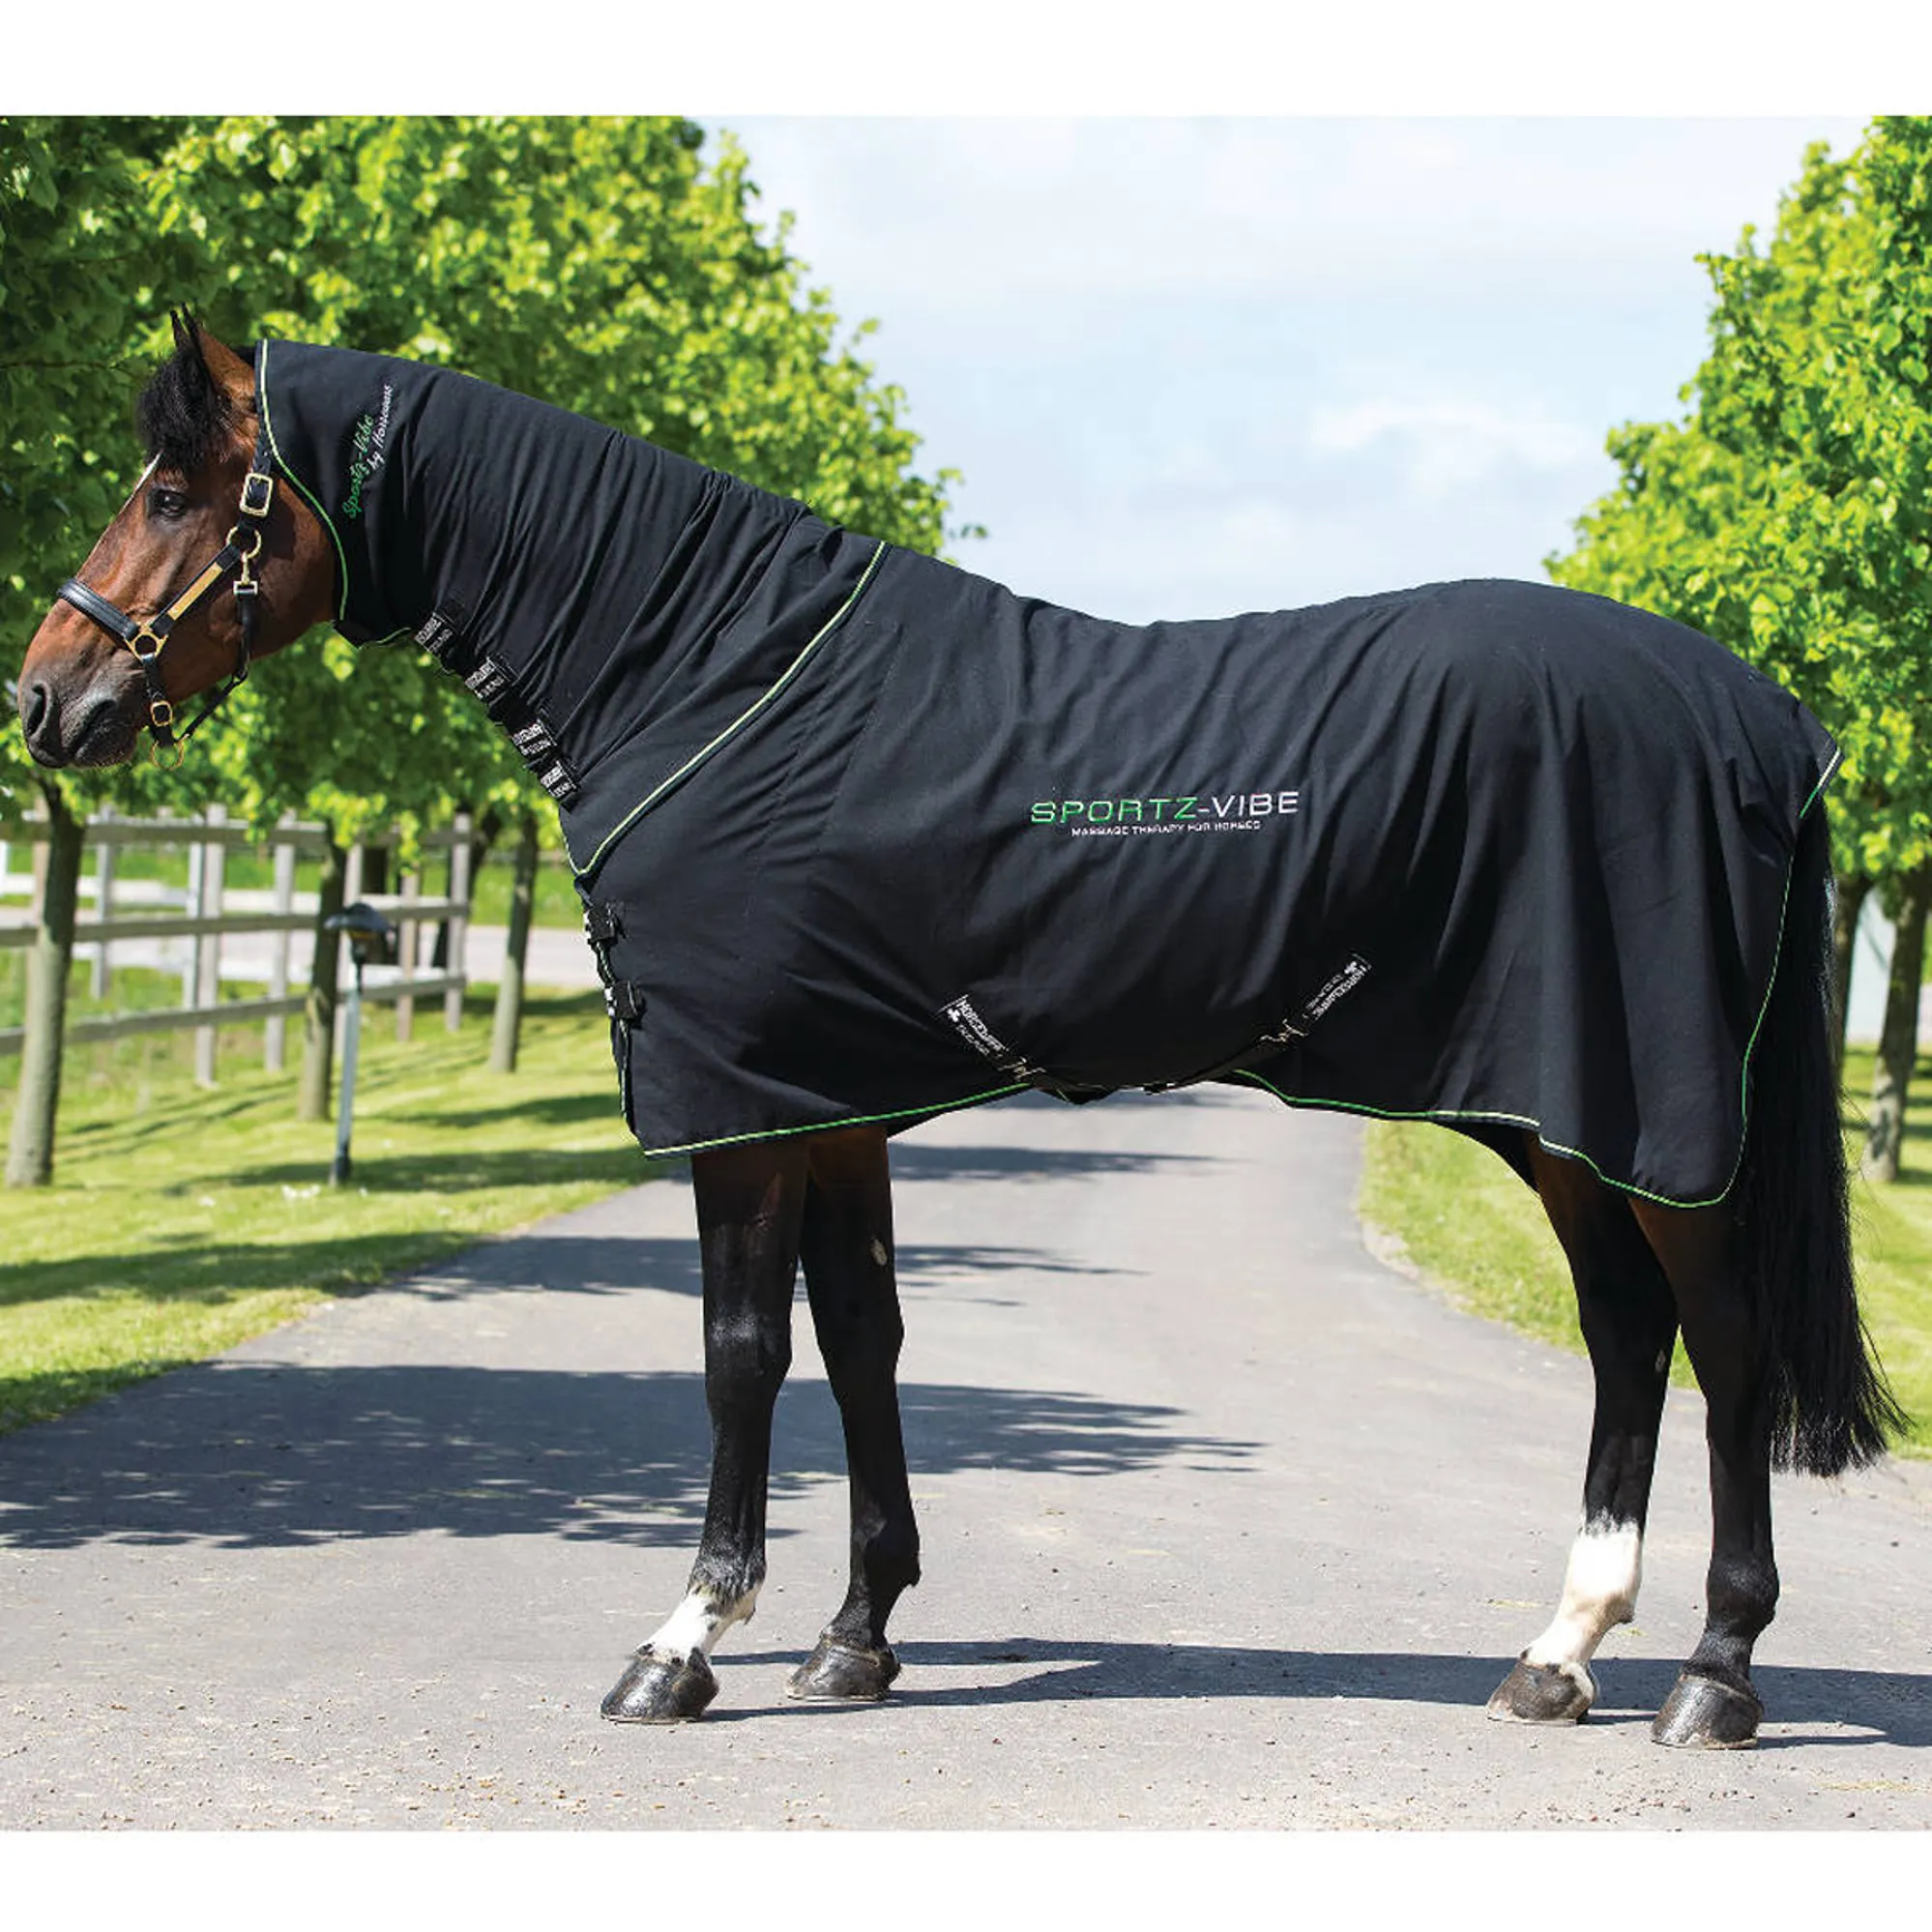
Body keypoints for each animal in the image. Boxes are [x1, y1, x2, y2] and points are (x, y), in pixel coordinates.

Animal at [16, 316, 1904, 1750]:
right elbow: (863, 1341)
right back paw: (1557, 1651)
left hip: (1636, 1119)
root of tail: (1757, 710)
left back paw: (1713, 1677)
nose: (51, 696)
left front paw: (682, 1642)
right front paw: (855, 1633)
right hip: (1556, 1119)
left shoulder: (736, 1107)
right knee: (1623, 1338)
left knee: (1723, 1348)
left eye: (173, 490)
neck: (708, 672)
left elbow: (739, 1354)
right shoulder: (829, 1099)